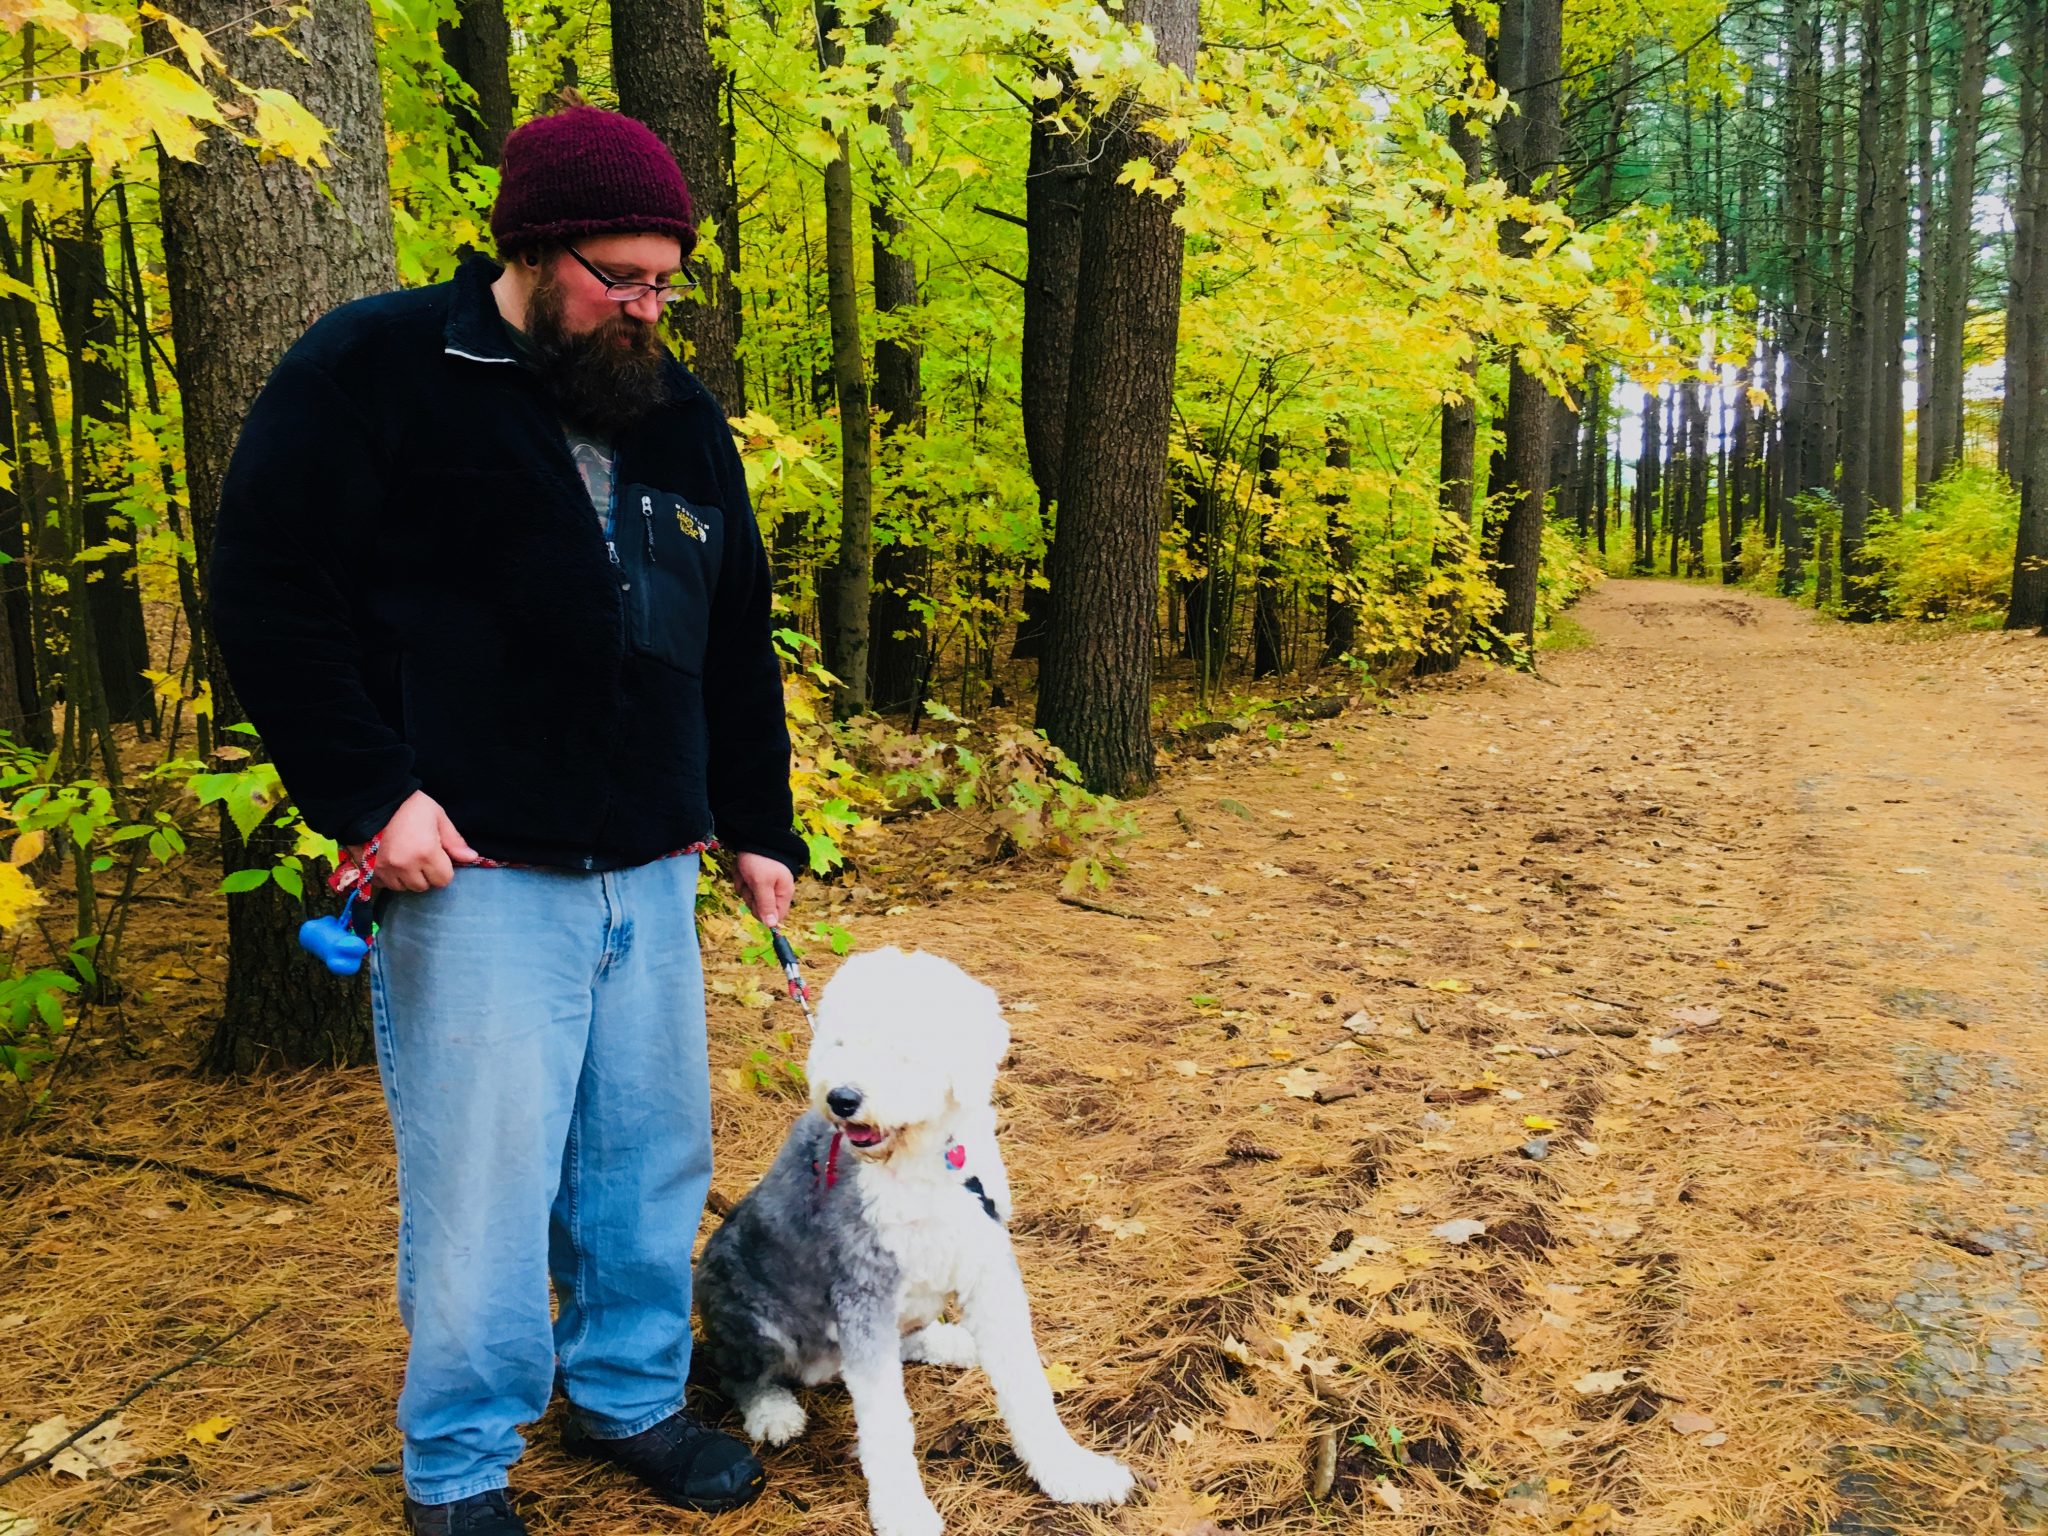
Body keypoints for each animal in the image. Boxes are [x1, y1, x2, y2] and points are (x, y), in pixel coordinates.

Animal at [696, 950, 1130, 1536]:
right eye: (840, 1042)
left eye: (902, 1046)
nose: (842, 1099)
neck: (922, 1160)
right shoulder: (864, 1294)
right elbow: (885, 1420)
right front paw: (903, 1509)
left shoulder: (988, 1265)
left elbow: (1027, 1383)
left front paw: (1070, 1471)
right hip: (753, 1312)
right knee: (736, 1372)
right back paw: (773, 1412)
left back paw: (952, 1342)